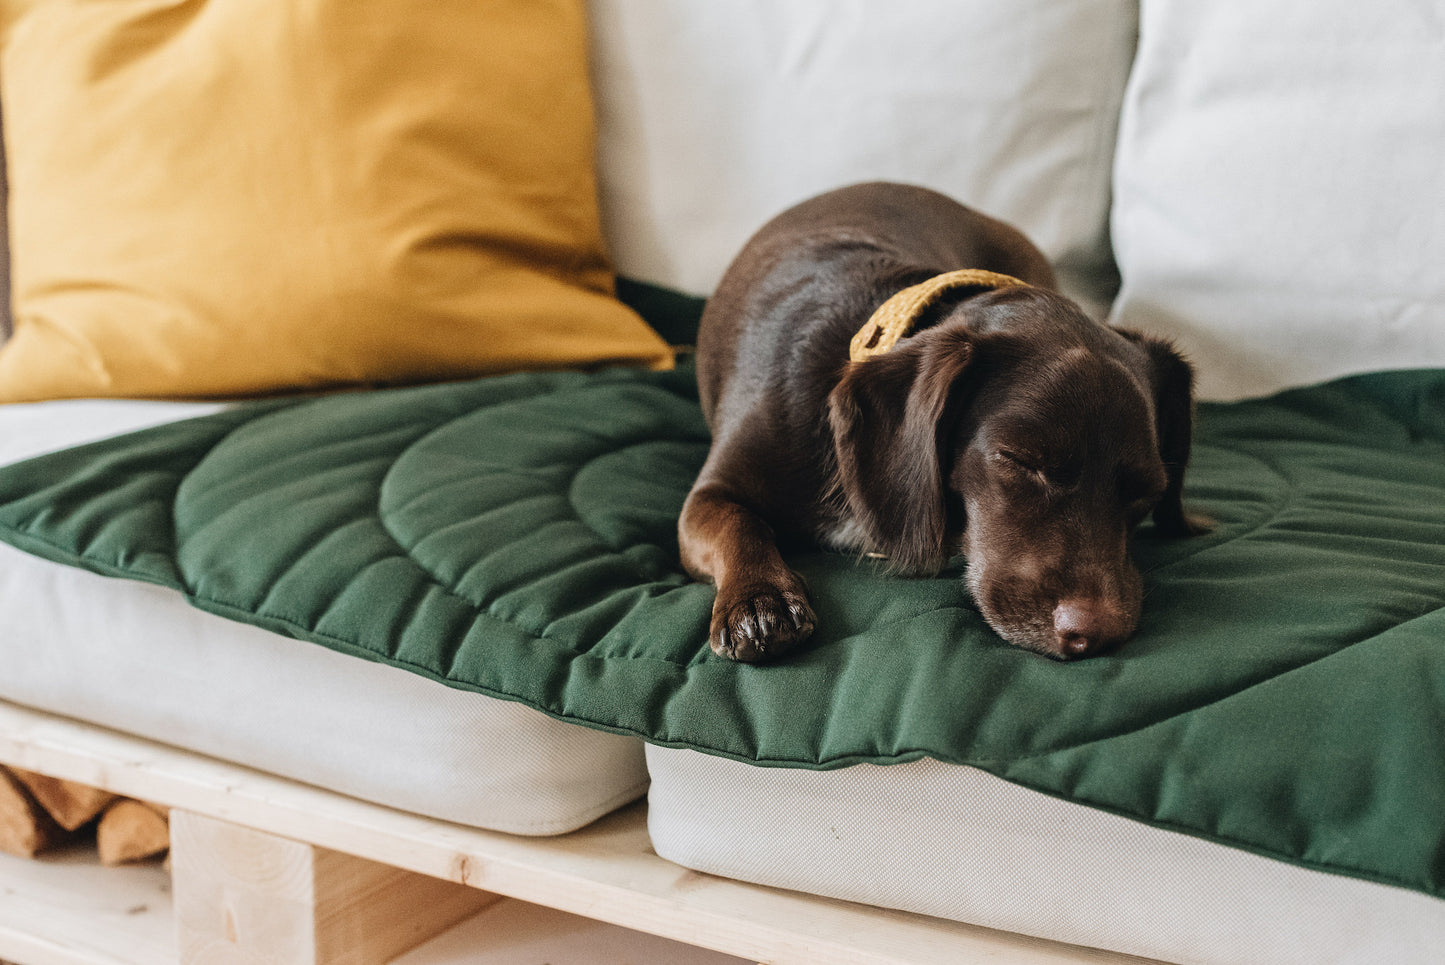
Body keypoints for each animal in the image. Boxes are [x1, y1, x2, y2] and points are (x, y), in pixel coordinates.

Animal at [679, 180, 1208, 664]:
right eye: (1019, 460)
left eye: (1149, 492)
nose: (1096, 636)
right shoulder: (706, 498)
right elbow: (740, 524)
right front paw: (759, 600)